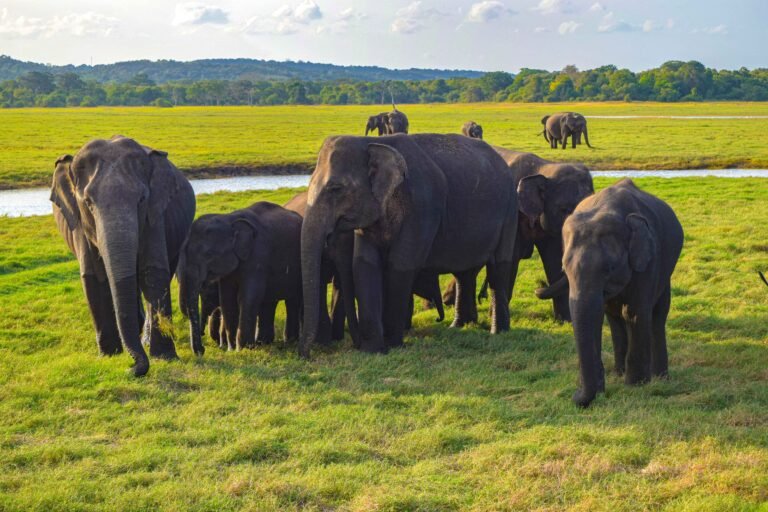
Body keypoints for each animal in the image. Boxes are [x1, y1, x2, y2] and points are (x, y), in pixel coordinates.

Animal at [50, 136, 195, 376]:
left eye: (142, 199)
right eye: (88, 202)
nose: (131, 368)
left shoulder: (155, 215)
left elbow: (153, 273)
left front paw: (165, 357)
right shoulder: (79, 224)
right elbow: (94, 278)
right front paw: (109, 355)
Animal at [178, 202, 303, 354]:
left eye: (209, 254)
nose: (202, 350)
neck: (228, 219)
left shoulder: (258, 256)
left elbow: (248, 296)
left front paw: (243, 348)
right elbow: (227, 298)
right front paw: (232, 349)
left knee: (293, 299)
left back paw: (288, 341)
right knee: (271, 301)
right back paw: (264, 342)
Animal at [299, 133, 518, 357]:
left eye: (336, 189)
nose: (306, 354)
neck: (371, 142)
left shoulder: (422, 208)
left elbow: (400, 266)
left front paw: (393, 345)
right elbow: (364, 265)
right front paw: (373, 350)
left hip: (510, 211)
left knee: (498, 269)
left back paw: (498, 332)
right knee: (464, 273)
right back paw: (458, 326)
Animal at [443, 148, 594, 322]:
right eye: (564, 209)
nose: (539, 285)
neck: (544, 168)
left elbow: (553, 259)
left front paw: (564, 320)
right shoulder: (512, 215)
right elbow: (511, 259)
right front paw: (493, 316)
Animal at [536, 179, 683, 407]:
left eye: (609, 268)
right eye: (564, 269)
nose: (575, 395)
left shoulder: (647, 261)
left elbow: (635, 312)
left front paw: (635, 385)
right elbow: (598, 315)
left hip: (665, 266)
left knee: (657, 315)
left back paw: (659, 378)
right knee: (614, 316)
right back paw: (619, 372)